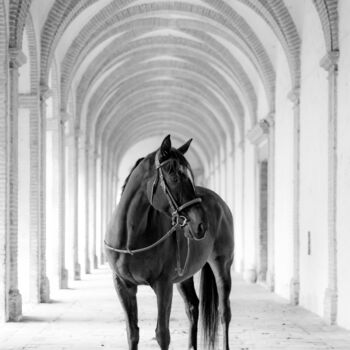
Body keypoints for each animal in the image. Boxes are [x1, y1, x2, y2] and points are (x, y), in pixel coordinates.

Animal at [104, 135, 235, 348]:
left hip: (222, 265)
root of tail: (220, 203)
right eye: (174, 177)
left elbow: (162, 334)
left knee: (225, 312)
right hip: (184, 276)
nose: (201, 225)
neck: (130, 240)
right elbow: (132, 333)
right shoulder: (123, 286)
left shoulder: (163, 285)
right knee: (192, 307)